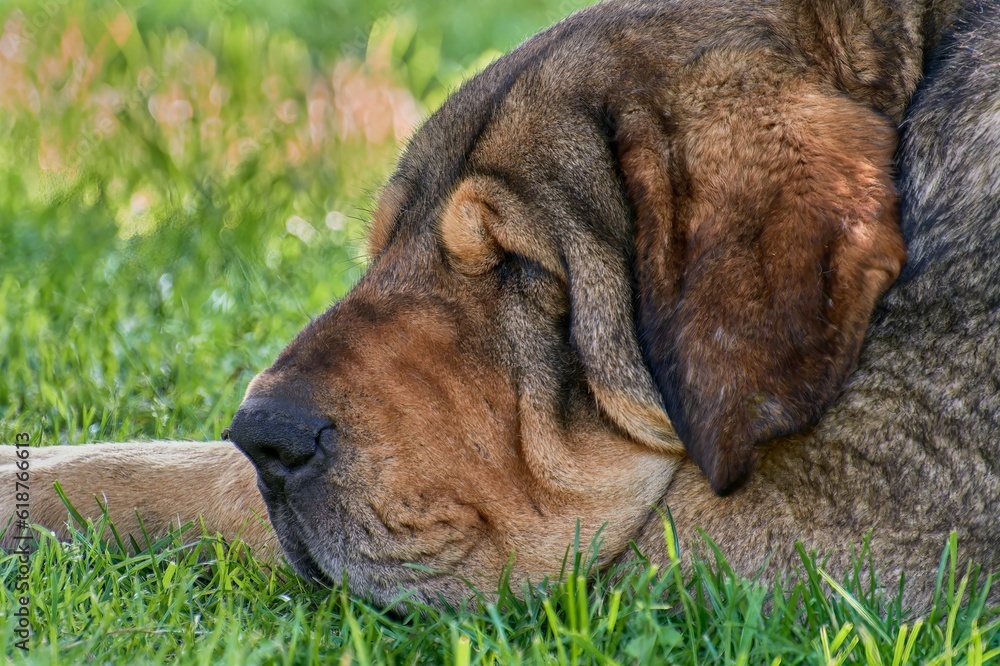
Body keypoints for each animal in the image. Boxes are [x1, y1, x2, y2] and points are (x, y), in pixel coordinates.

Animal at [3, 0, 996, 608]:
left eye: (518, 267)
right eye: (379, 252)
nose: (267, 434)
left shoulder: (780, 550)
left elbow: (206, 487)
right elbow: (188, 463)